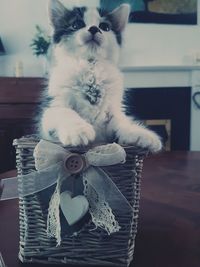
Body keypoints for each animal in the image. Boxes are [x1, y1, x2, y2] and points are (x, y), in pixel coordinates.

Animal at [39, 0, 162, 153]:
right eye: (76, 25)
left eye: (104, 26)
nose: (93, 29)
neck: (91, 68)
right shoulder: (52, 107)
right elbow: (66, 113)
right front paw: (79, 131)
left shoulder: (112, 112)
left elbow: (122, 122)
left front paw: (140, 134)